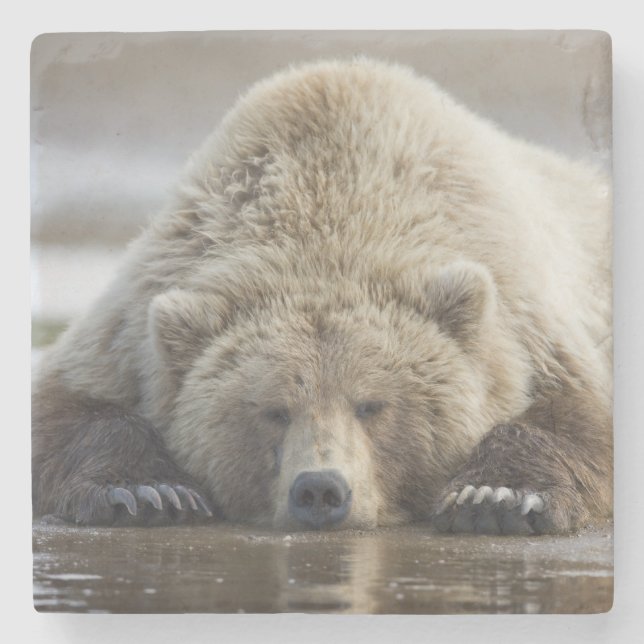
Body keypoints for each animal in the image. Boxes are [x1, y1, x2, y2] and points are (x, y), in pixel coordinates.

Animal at [32, 58, 612, 534]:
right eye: (272, 410)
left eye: (372, 404)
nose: (320, 489)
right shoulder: (139, 311)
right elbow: (65, 408)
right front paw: (146, 492)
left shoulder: (526, 314)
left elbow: (577, 413)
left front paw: (498, 497)